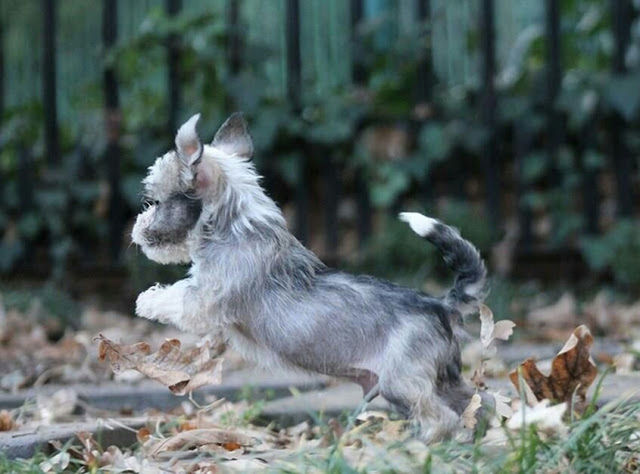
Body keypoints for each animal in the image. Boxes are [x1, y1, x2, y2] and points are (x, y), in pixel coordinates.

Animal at [132, 112, 488, 440]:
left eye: (158, 201)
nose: (137, 230)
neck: (238, 225)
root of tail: (443, 306)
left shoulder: (202, 300)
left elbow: (175, 294)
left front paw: (146, 300)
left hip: (401, 383)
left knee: (441, 419)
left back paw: (424, 445)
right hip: (442, 381)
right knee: (477, 403)